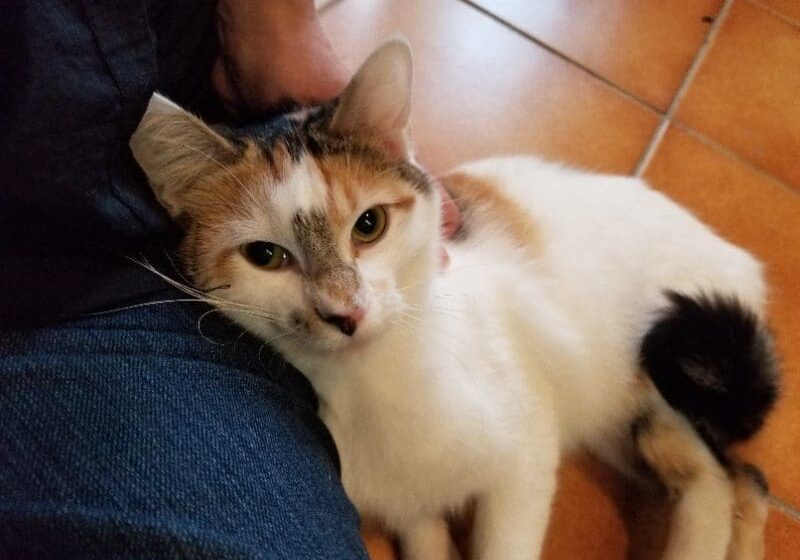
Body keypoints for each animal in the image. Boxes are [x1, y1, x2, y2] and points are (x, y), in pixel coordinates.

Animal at [133, 39, 780, 560]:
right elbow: (425, 533)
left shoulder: (526, 452)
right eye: (266, 256)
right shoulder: (407, 501)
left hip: (668, 365)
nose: (345, 312)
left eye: (368, 225)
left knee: (728, 477)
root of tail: (739, 260)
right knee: (731, 476)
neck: (377, 382)